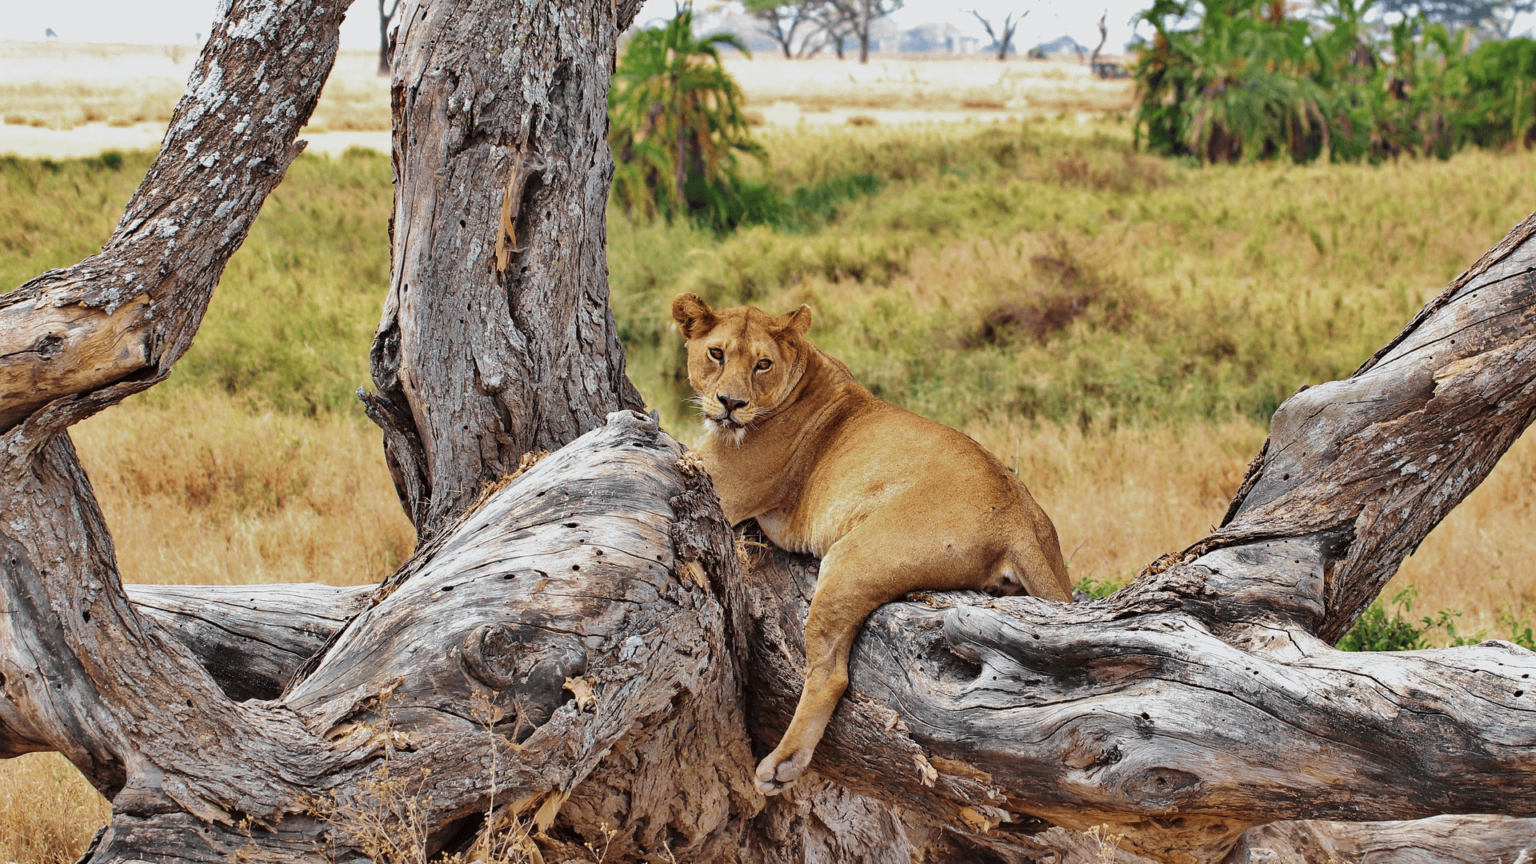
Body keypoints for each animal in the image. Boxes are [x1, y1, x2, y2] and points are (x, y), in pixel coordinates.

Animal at [671, 292, 1072, 796]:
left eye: (762, 364)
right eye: (717, 353)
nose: (730, 403)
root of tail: (1015, 513)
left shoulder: (718, 484)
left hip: (850, 558)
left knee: (831, 674)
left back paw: (782, 765)